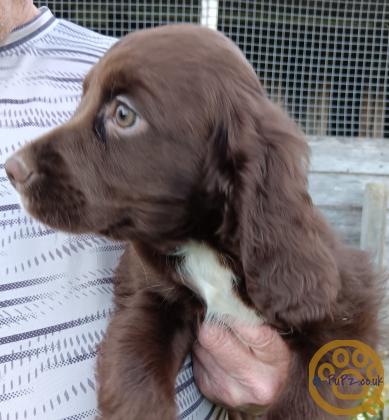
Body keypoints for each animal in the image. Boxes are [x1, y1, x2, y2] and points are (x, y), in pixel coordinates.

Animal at [5, 24, 384, 418]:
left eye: (123, 115)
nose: (12, 169)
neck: (204, 245)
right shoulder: (151, 296)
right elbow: (135, 380)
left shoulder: (348, 315)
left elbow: (308, 398)